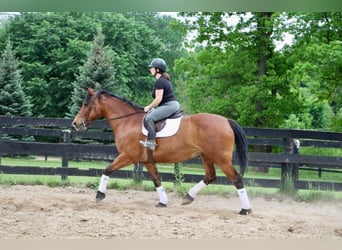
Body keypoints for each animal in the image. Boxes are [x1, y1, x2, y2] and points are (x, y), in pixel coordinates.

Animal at [72, 87, 252, 215]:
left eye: (86, 104)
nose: (75, 123)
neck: (127, 121)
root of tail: (226, 121)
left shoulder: (127, 156)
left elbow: (107, 169)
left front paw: (99, 195)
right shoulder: (146, 161)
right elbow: (157, 180)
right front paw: (163, 202)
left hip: (221, 158)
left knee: (236, 179)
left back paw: (245, 209)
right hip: (206, 156)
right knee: (210, 176)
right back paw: (188, 197)